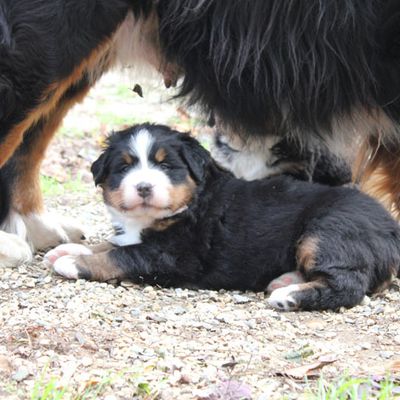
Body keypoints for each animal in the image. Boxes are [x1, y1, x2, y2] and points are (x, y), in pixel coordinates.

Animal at [43, 123, 400, 310]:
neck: (192, 201)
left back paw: (288, 295)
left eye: (166, 165)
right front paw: (68, 250)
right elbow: (112, 244)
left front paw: (73, 262)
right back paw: (287, 280)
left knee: (349, 285)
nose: (144, 187)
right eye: (124, 167)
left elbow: (121, 255)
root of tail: (388, 225)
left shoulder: (176, 255)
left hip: (327, 230)